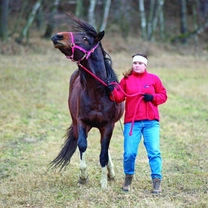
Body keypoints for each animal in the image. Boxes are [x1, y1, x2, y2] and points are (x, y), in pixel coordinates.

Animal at [50, 13, 124, 188]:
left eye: (84, 38)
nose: (57, 36)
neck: (97, 93)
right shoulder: (82, 122)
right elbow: (82, 145)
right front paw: (83, 177)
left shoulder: (108, 125)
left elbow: (103, 152)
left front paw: (103, 183)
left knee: (105, 148)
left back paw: (110, 173)